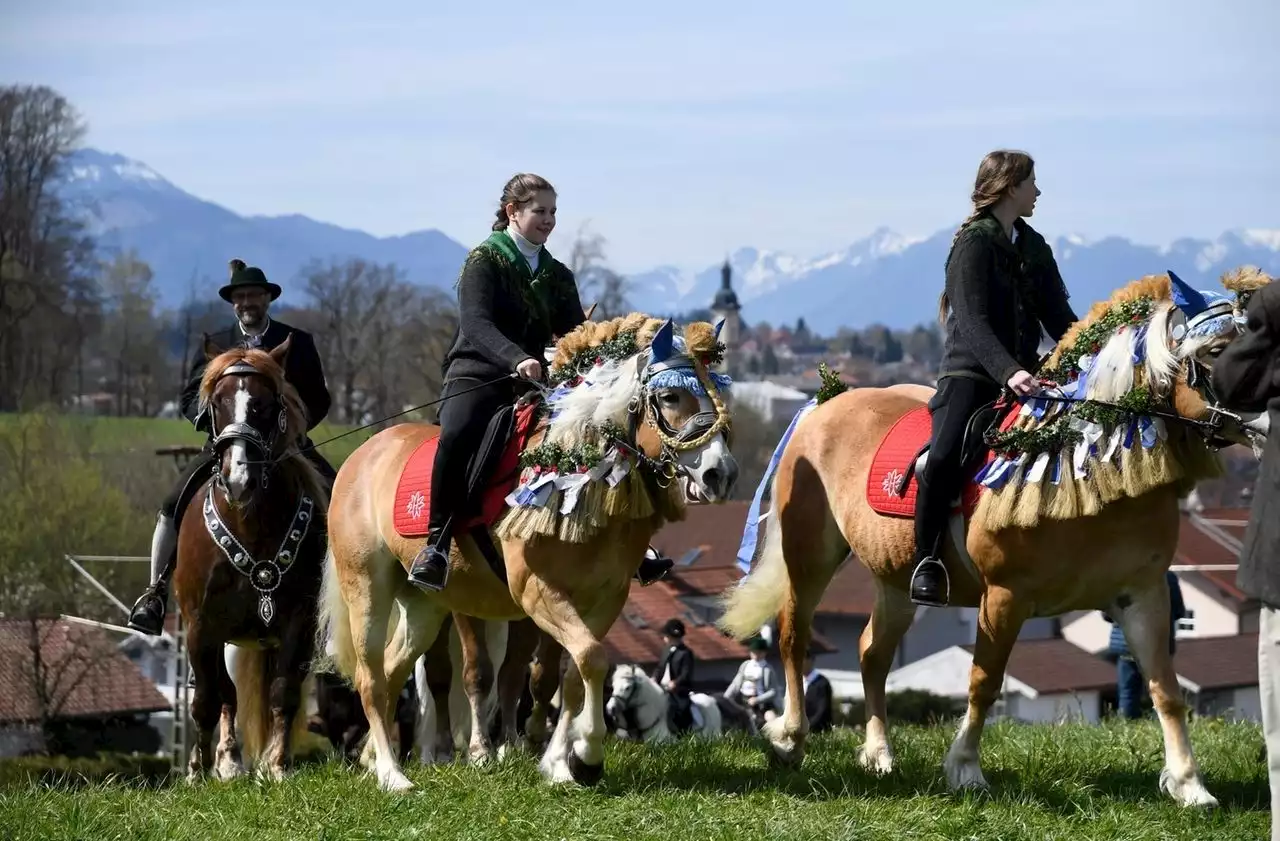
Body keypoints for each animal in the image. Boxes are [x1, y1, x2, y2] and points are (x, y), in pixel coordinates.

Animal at [171, 335, 327, 778]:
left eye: (265, 404)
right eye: (217, 401)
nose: (238, 478)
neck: (249, 522)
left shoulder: (297, 621)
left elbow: (283, 691)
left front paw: (277, 766)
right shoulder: (200, 625)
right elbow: (205, 700)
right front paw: (197, 770)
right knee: (223, 693)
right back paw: (227, 761)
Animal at [317, 311, 742, 788]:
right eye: (670, 396)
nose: (720, 474)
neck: (584, 480)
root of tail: (364, 454)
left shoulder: (605, 599)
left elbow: (574, 675)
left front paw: (562, 763)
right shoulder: (537, 592)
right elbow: (590, 658)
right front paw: (584, 757)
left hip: (423, 605)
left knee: (392, 671)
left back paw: (373, 760)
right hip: (367, 586)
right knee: (371, 677)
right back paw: (394, 778)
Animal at [721, 270, 1269, 808]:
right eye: (1217, 351)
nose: (1270, 423)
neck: (1086, 468)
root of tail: (826, 403)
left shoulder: (1143, 594)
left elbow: (1166, 689)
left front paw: (1190, 785)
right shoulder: (1004, 597)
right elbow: (984, 684)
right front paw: (965, 769)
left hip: (896, 579)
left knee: (873, 652)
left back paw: (878, 754)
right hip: (810, 556)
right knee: (793, 637)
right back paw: (789, 739)